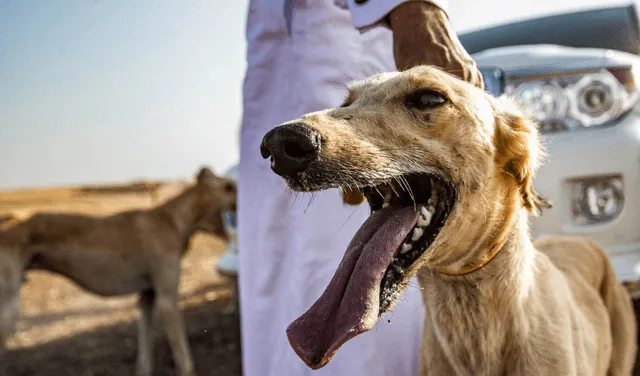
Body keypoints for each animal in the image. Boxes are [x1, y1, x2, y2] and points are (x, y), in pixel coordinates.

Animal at [0, 167, 236, 376]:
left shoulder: (147, 296)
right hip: (8, 309)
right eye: (228, 186)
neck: (172, 220)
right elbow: (182, 357)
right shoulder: (167, 298)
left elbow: (145, 350)